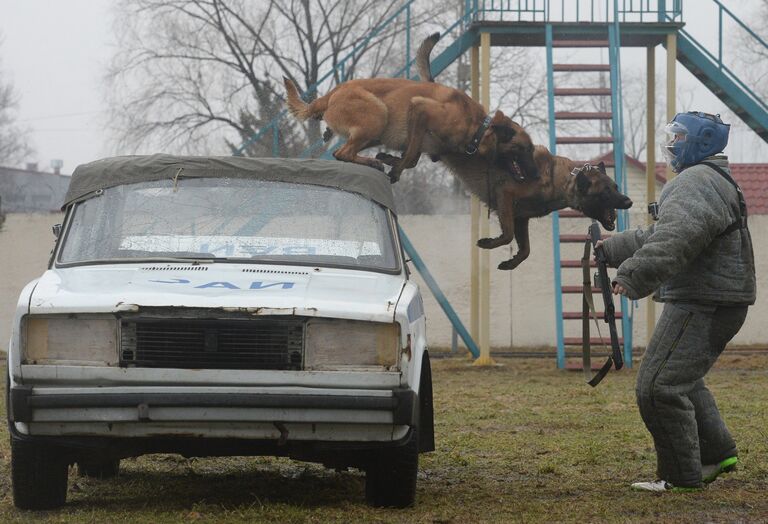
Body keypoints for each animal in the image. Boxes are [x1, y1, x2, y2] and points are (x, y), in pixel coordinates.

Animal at [284, 73, 540, 183]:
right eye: (526, 149)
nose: (538, 175)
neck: (477, 127)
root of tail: (332, 93)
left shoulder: (422, 139)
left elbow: (413, 157)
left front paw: (391, 159)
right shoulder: (420, 110)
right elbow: (410, 157)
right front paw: (395, 169)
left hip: (376, 132)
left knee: (342, 153)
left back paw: (373, 160)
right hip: (378, 114)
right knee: (344, 152)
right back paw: (371, 162)